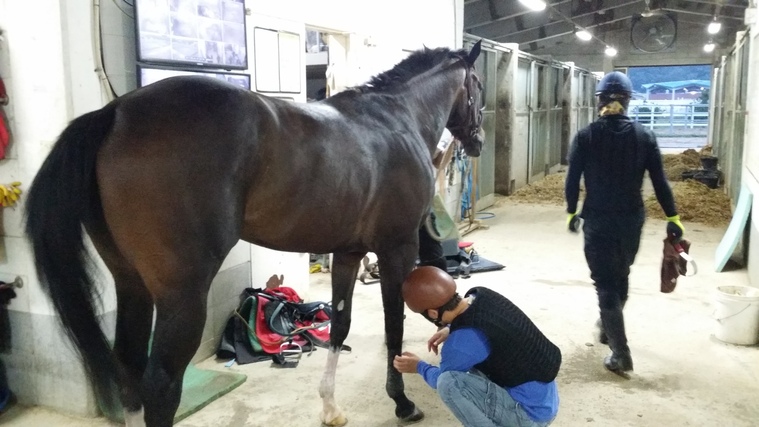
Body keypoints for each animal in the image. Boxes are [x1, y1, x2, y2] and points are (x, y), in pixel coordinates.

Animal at [26, 41, 484, 427]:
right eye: (477, 86)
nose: (477, 141)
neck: (395, 117)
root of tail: (115, 112)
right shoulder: (396, 250)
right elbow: (394, 327)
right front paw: (402, 402)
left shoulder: (348, 253)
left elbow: (339, 327)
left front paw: (330, 407)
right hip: (182, 295)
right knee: (160, 384)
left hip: (131, 283)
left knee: (129, 368)